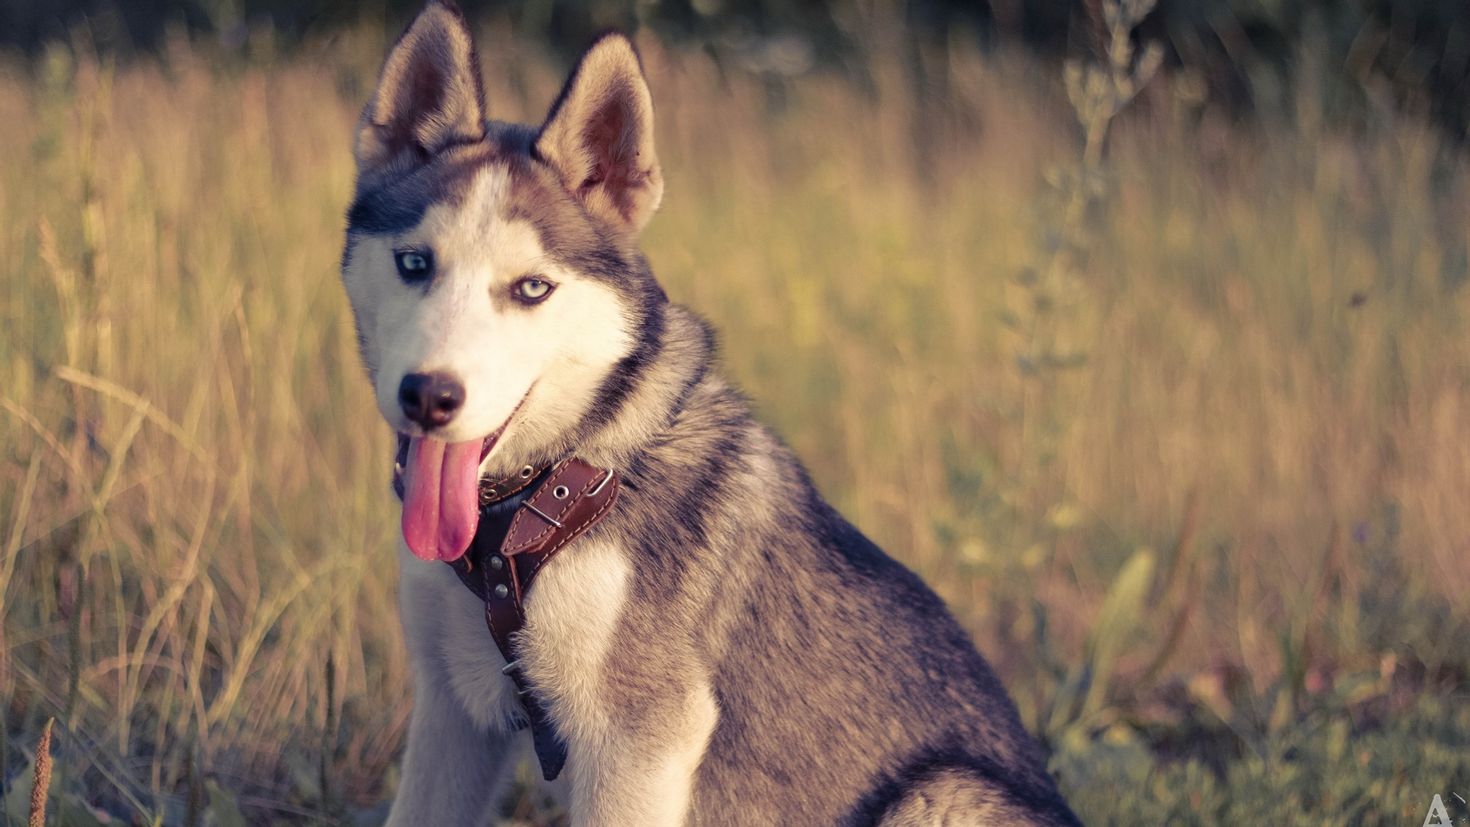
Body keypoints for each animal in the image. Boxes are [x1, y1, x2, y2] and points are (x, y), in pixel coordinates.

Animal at [343, 3, 1081, 822]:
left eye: (532, 288)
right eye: (415, 264)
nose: (429, 395)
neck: (543, 504)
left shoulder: (640, 737)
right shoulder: (452, 713)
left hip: (942, 790)